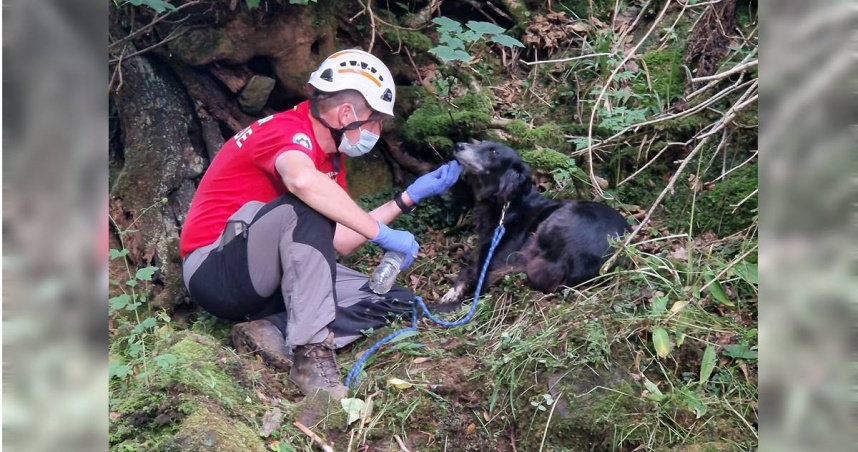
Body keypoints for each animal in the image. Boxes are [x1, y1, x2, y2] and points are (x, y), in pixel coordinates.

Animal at [438, 141, 624, 304]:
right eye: (481, 143)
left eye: (494, 152)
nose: (458, 145)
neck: (508, 204)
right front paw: (452, 292)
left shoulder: (496, 257)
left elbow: (474, 269)